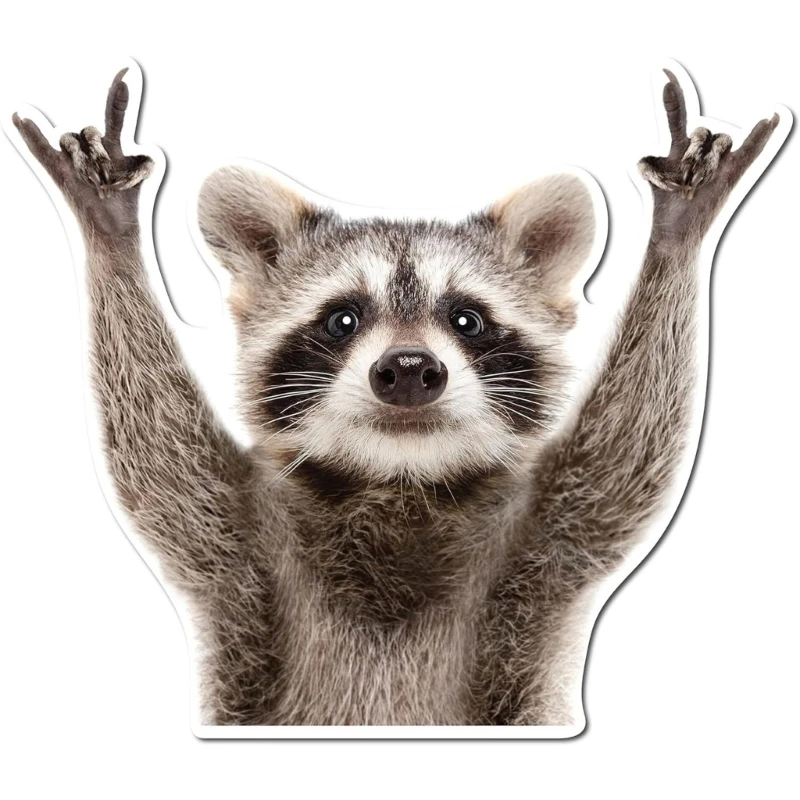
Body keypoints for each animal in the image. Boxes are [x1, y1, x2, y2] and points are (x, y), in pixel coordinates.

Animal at [11, 66, 784, 726]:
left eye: (466, 319)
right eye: (342, 319)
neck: (398, 480)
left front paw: (676, 235)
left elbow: (626, 455)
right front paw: (111, 235)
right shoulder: (239, 544)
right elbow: (157, 454)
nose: (409, 369)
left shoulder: (546, 541)